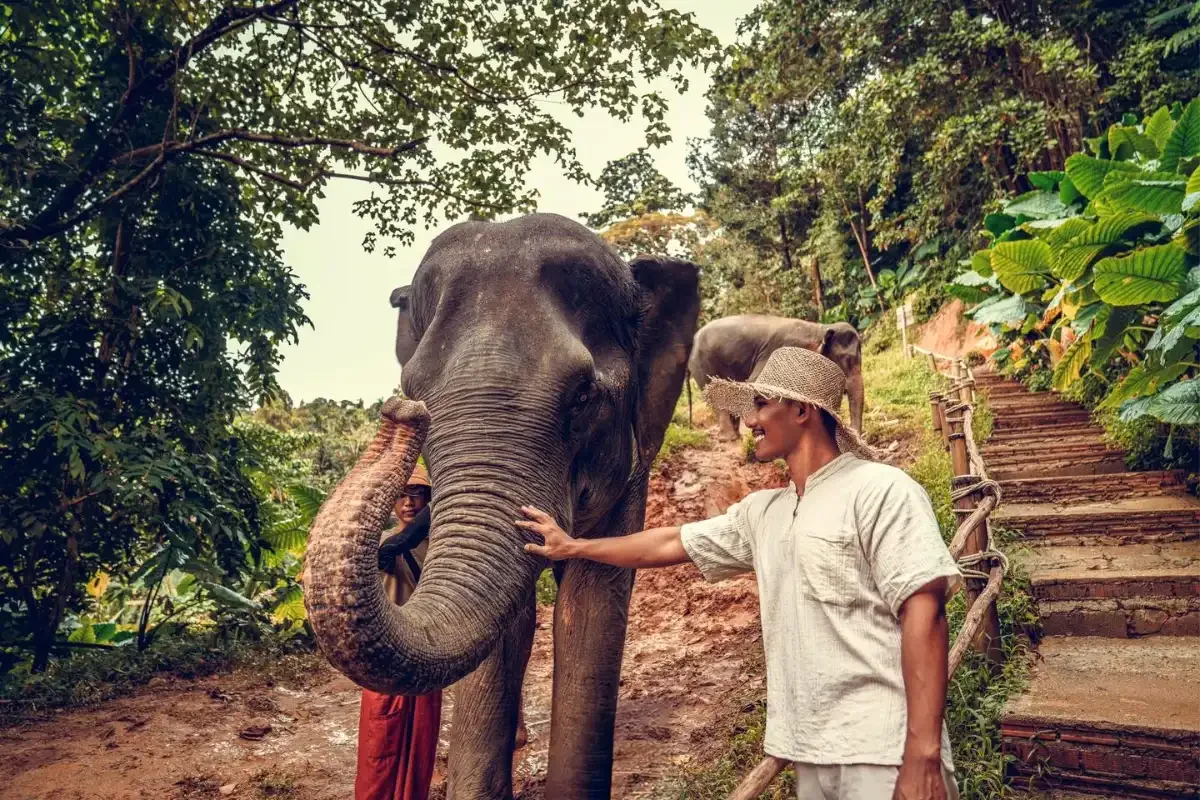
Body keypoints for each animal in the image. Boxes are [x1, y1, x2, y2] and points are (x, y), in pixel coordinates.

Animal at [302, 213, 701, 799]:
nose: (400, 410)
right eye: (414, 388)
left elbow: (590, 603)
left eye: (583, 396)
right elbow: (505, 629)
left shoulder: (633, 469)